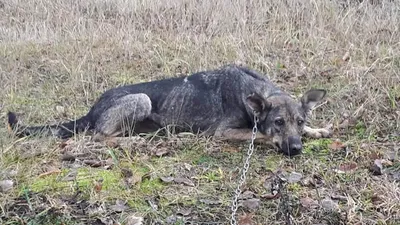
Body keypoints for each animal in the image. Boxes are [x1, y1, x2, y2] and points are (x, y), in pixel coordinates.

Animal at [7, 64, 332, 156]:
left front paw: (318, 130)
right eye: (277, 122)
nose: (296, 150)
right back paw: (133, 141)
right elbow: (260, 135)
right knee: (99, 136)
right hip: (141, 99)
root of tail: (92, 108)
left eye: (299, 120)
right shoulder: (224, 132)